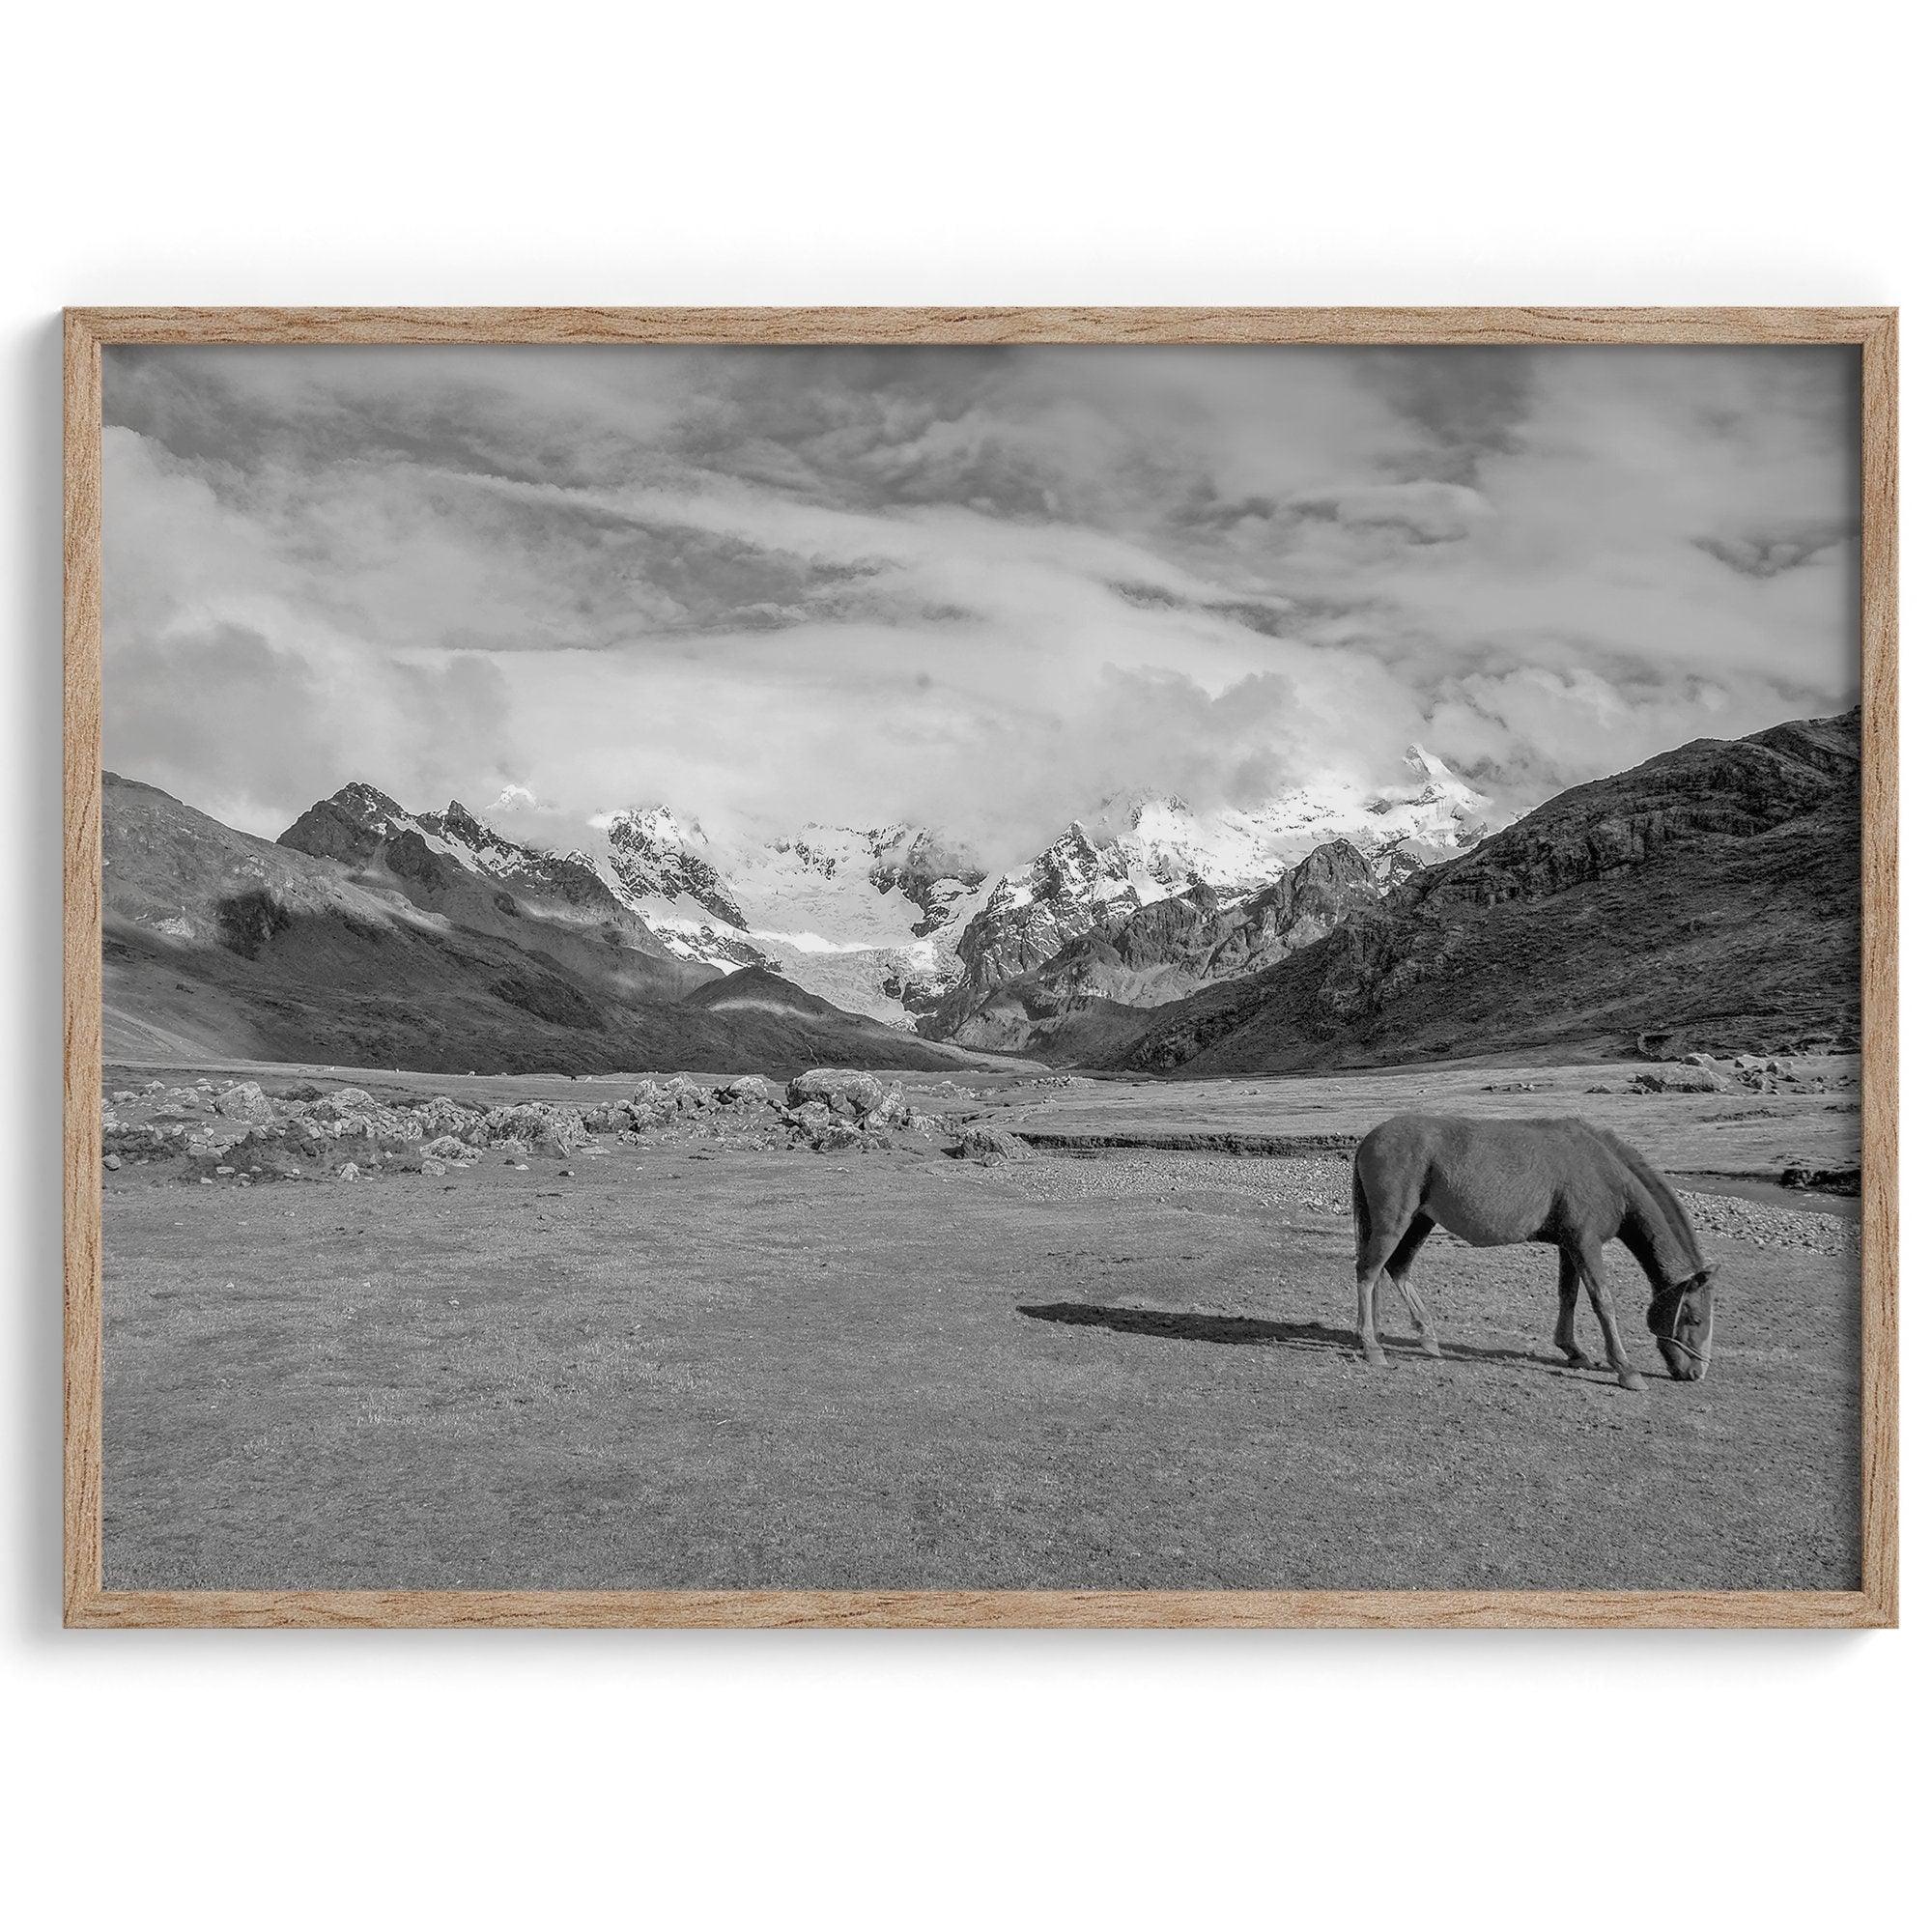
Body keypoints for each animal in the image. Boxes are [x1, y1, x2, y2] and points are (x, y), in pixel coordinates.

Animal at [1345, 1121, 1723, 1391]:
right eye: (1694, 1319)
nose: (1696, 1372)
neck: (1605, 1173)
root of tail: (1369, 1139)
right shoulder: (1586, 1243)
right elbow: (1602, 1301)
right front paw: (1626, 1369)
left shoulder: (1569, 1245)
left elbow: (1568, 1295)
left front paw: (1573, 1350)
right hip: (1394, 1222)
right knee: (1368, 1272)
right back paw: (1372, 1345)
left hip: (1420, 1221)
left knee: (1395, 1268)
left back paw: (1422, 1336)